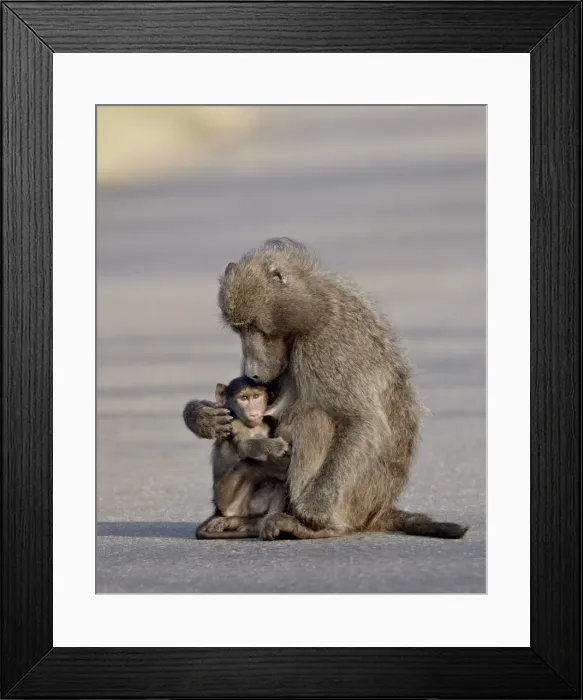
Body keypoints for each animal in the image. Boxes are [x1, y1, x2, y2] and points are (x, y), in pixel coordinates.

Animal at [195, 376, 291, 539]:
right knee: (247, 465)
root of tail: (218, 508)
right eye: (244, 398)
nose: (253, 413)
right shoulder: (233, 423)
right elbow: (243, 446)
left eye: (256, 396)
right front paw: (276, 446)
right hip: (230, 500)